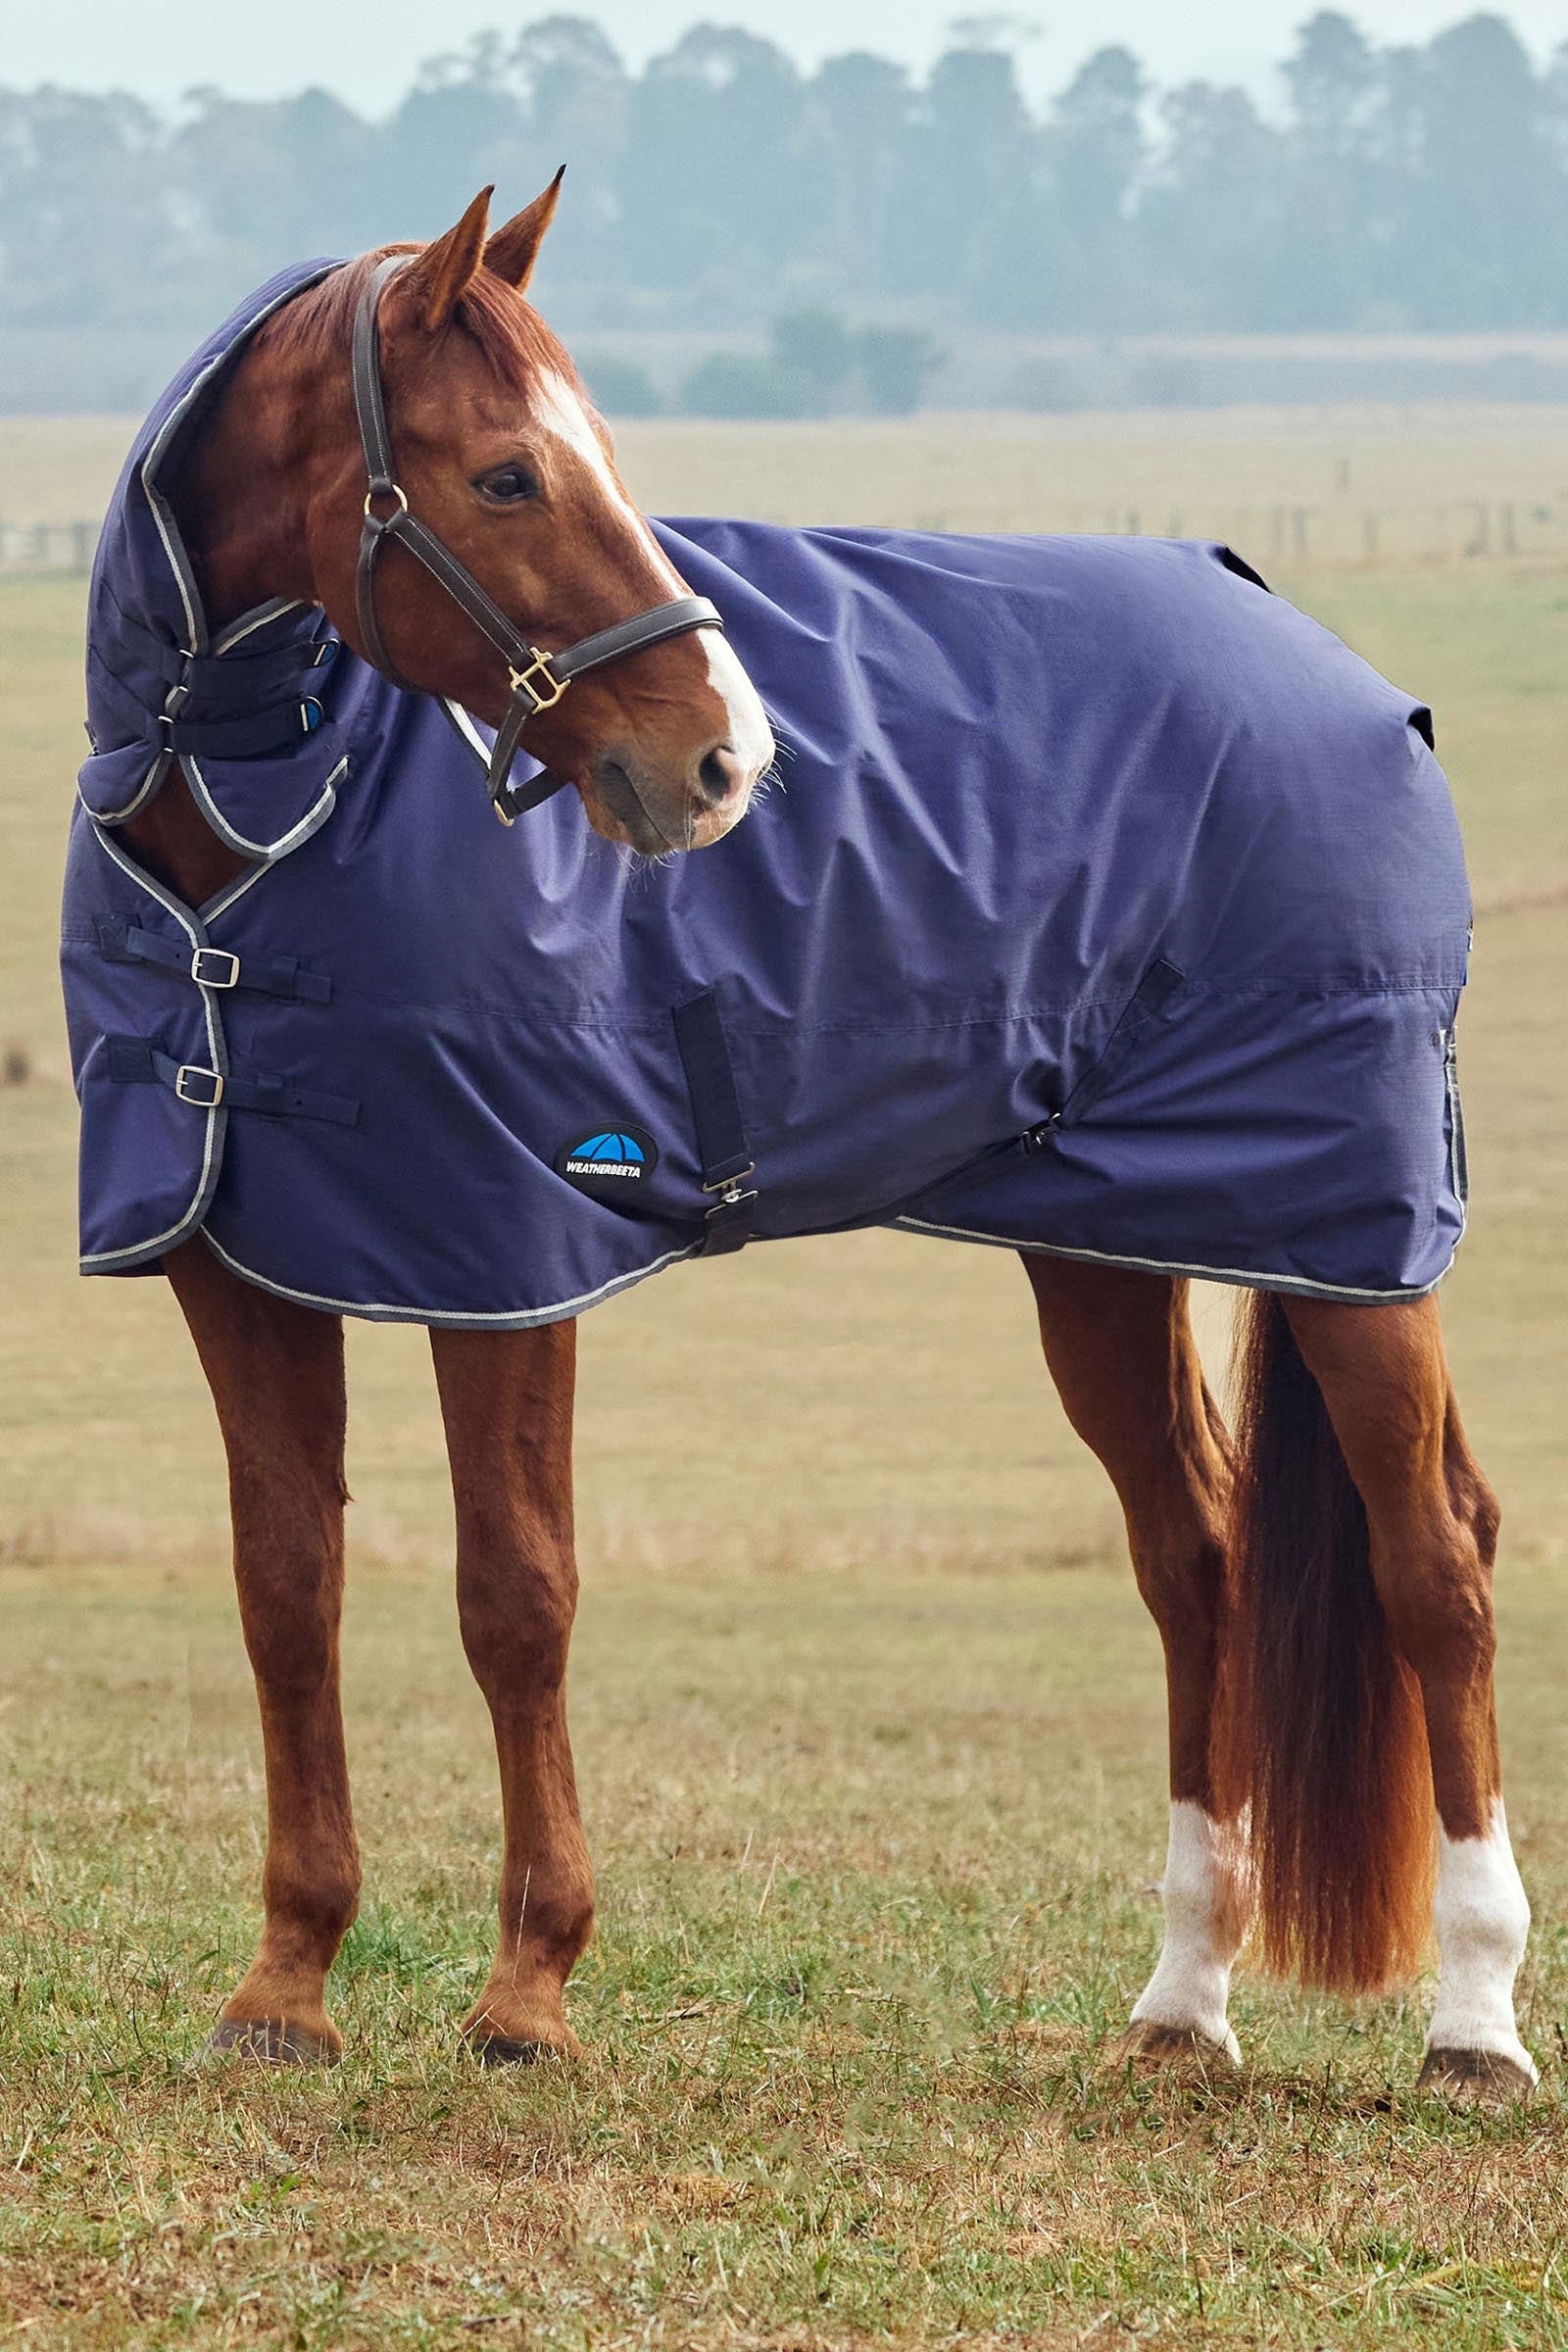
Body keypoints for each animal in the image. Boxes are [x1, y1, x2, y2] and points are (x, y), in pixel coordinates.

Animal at [70, 183, 1535, 2099]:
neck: (250, 837)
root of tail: (1327, 654)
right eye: (508, 476)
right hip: (1111, 1250)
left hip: (1352, 1236)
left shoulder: (511, 1256)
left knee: (1436, 1563)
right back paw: (1181, 2005)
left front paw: (527, 1994)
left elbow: (514, 1594)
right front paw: (287, 1990)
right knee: (1197, 1561)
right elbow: (285, 1591)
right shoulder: (235, 1264)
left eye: (596, 457)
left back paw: (1475, 2026)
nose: (723, 760)